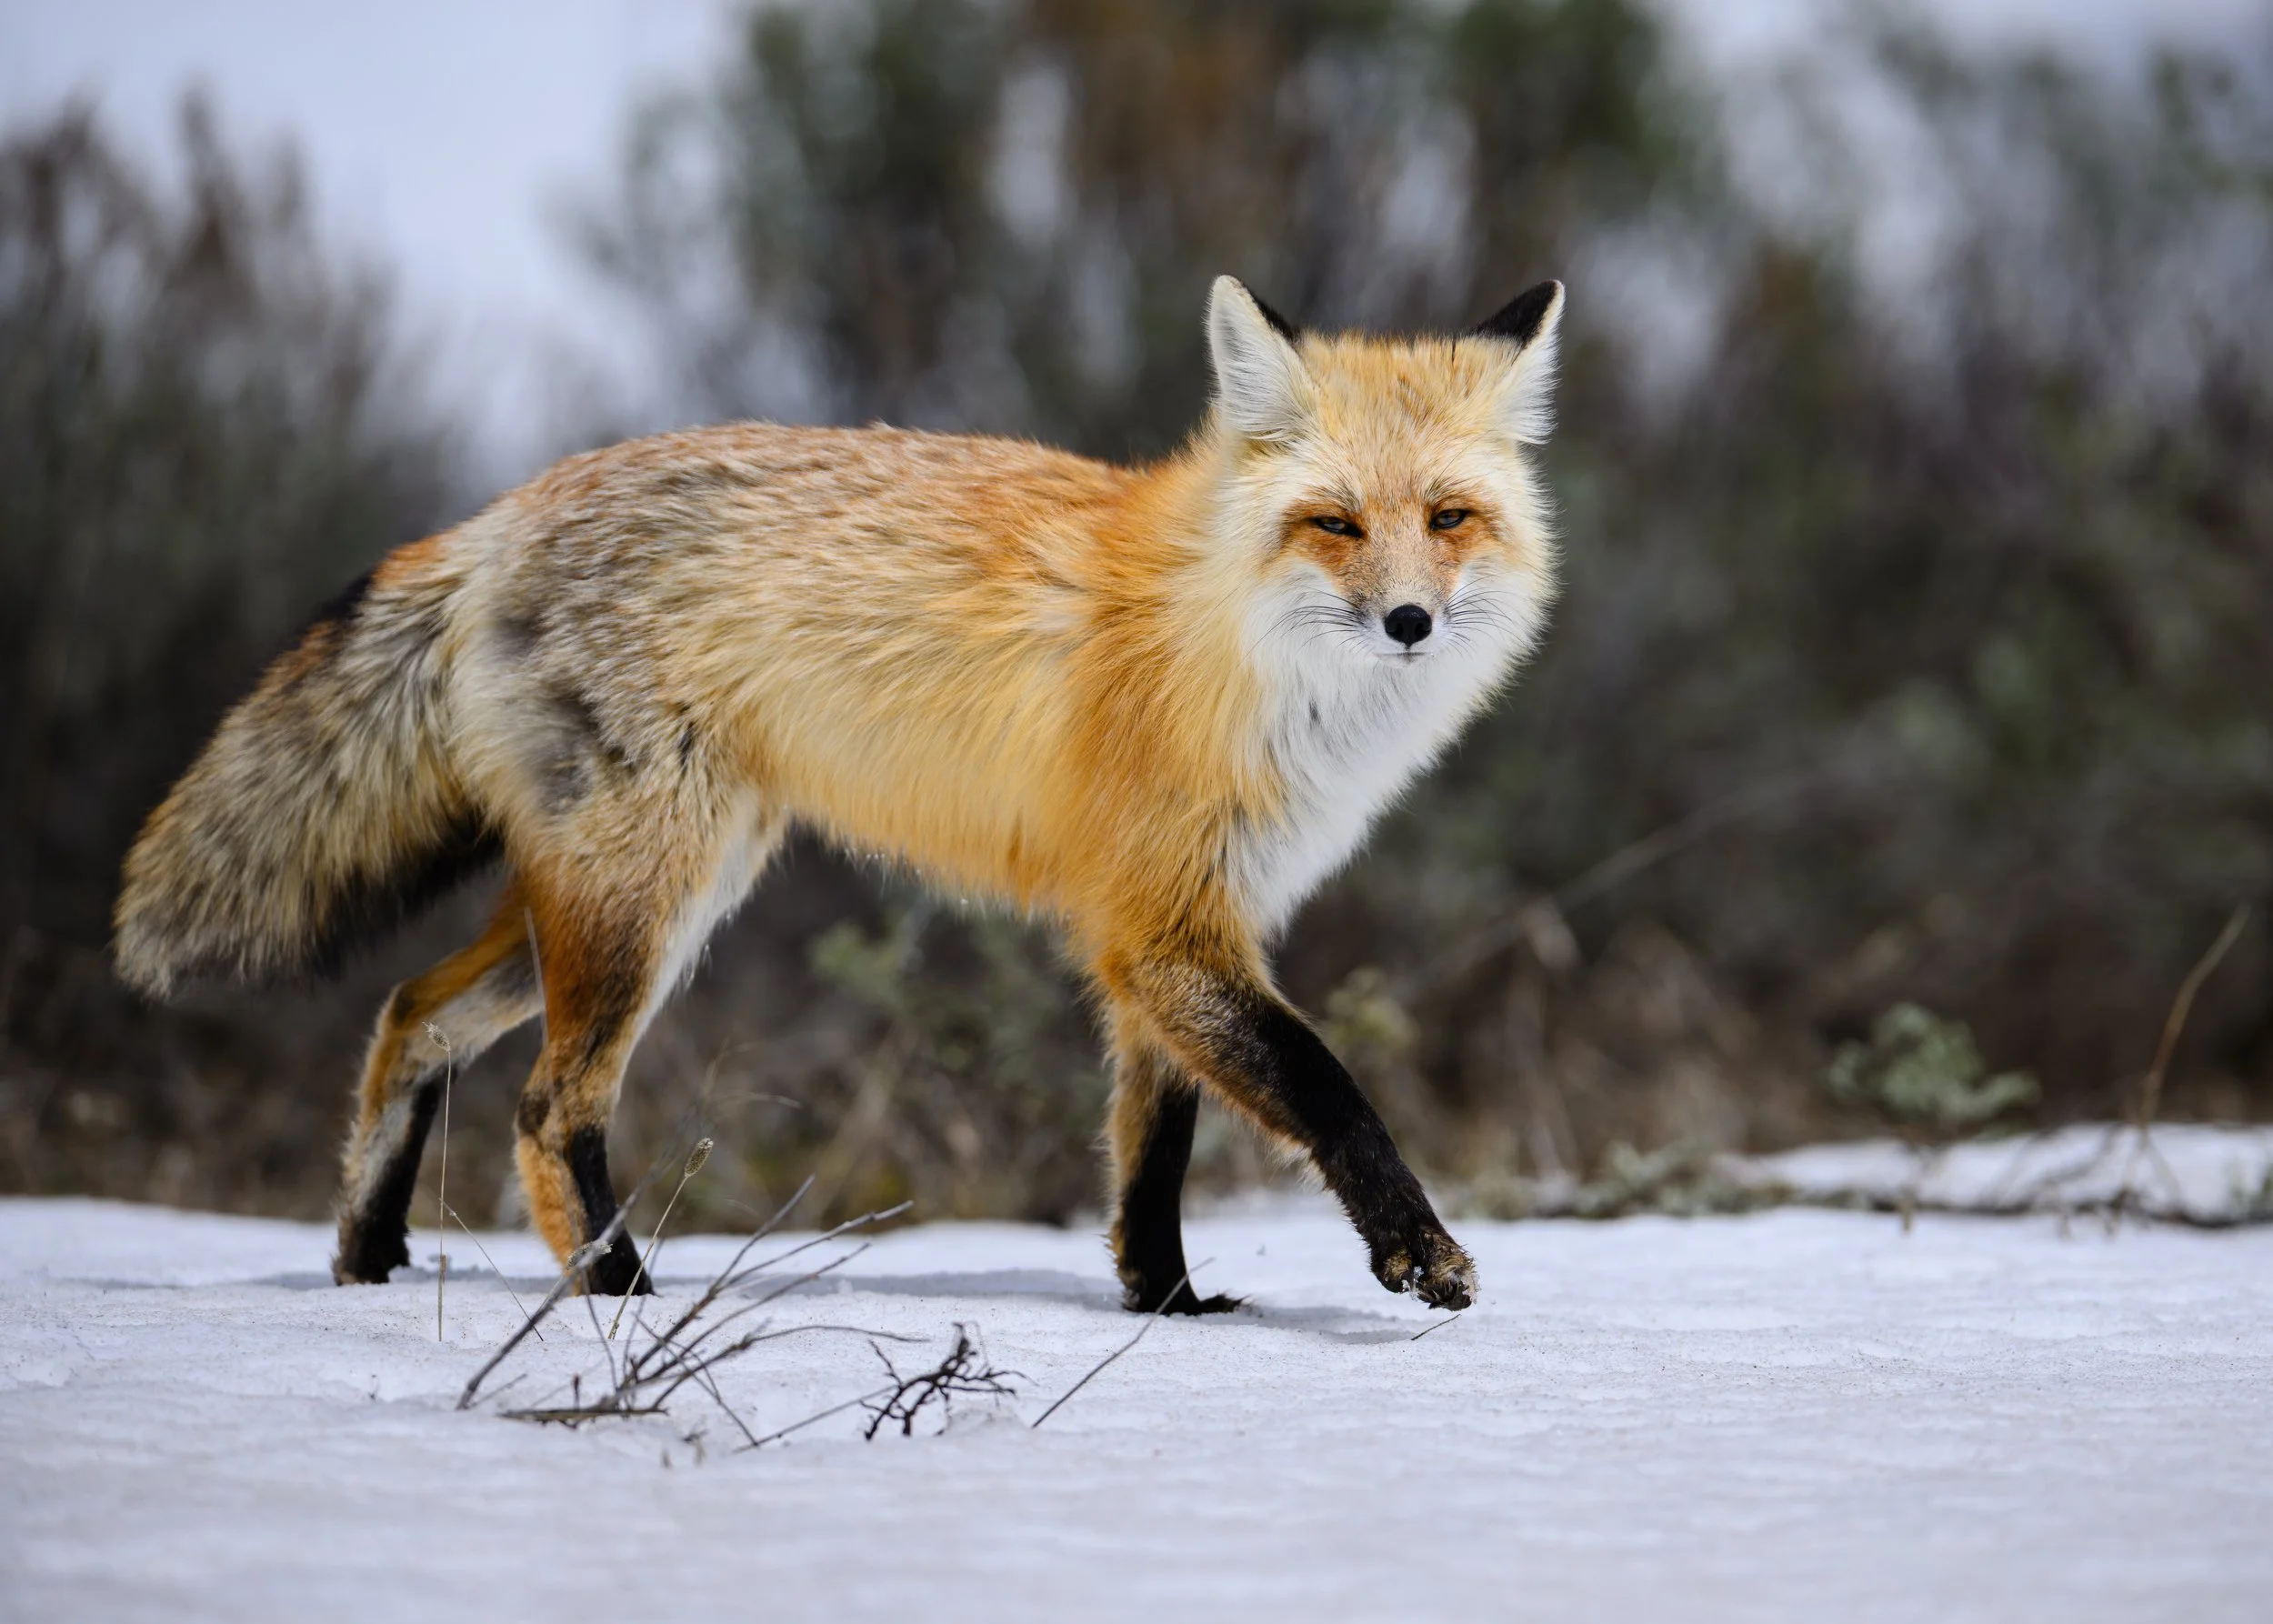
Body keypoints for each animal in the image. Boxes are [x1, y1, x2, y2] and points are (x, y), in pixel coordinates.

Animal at [114, 274, 1565, 1313]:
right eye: (1335, 523)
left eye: (1447, 517)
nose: (1410, 623)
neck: (1232, 649)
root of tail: (504, 512)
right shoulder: (1160, 926)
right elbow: (1323, 1085)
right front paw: (1419, 1254)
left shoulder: (1178, 928)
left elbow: (1153, 1149)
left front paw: (1167, 1306)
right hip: (645, 909)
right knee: (547, 1104)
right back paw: (623, 1293)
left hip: (619, 899)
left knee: (411, 1014)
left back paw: (364, 1261)